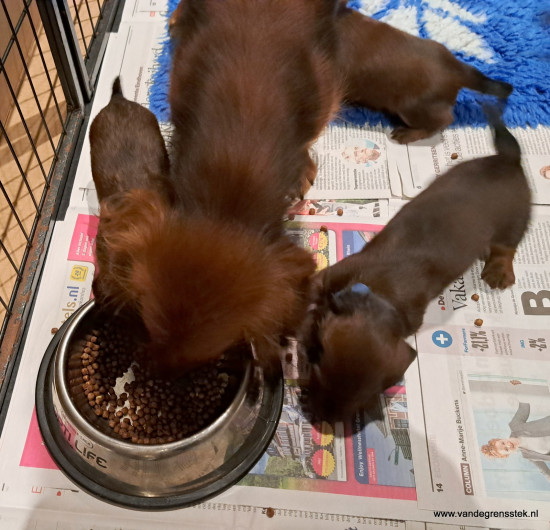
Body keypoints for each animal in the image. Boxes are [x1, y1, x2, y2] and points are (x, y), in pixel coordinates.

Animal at [304, 108, 532, 420]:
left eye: (363, 397)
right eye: (317, 365)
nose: (321, 419)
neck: (380, 294)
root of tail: (508, 161)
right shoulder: (332, 274)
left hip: (513, 220)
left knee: (506, 248)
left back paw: (499, 271)